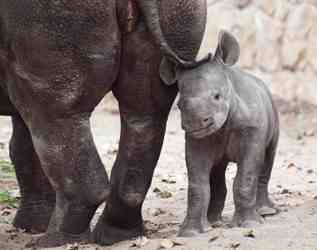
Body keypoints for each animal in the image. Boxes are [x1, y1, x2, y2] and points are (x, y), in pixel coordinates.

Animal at [0, 0, 207, 247]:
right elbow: (22, 145)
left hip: (47, 15)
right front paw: (30, 225)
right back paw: (115, 236)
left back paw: (53, 241)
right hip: (182, 7)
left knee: (51, 114)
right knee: (143, 114)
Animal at [160, 30, 278, 236]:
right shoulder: (197, 139)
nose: (196, 122)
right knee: (217, 169)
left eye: (217, 96)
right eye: (179, 105)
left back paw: (265, 212)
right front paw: (190, 232)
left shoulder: (252, 133)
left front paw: (248, 224)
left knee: (269, 155)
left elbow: (246, 177)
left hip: (272, 107)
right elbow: (198, 184)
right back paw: (214, 222)